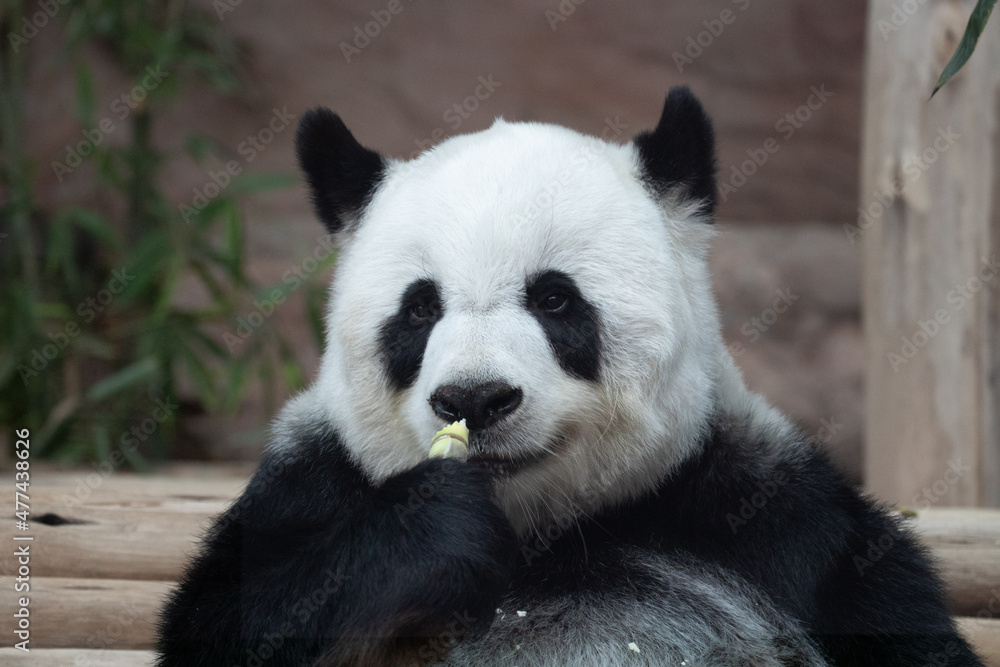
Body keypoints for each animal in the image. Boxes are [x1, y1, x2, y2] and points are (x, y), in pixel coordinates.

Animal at [158, 88, 984, 667]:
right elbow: (221, 619)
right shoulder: (312, 481)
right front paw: (437, 523)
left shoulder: (766, 513)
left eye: (554, 299)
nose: (475, 397)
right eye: (420, 309)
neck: (541, 532)